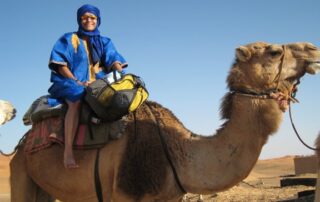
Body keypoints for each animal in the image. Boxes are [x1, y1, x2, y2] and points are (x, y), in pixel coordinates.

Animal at [8, 41, 320, 201]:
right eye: (274, 52)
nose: (314, 49)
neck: (178, 152)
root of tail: (22, 142)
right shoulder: (126, 196)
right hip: (20, 173)